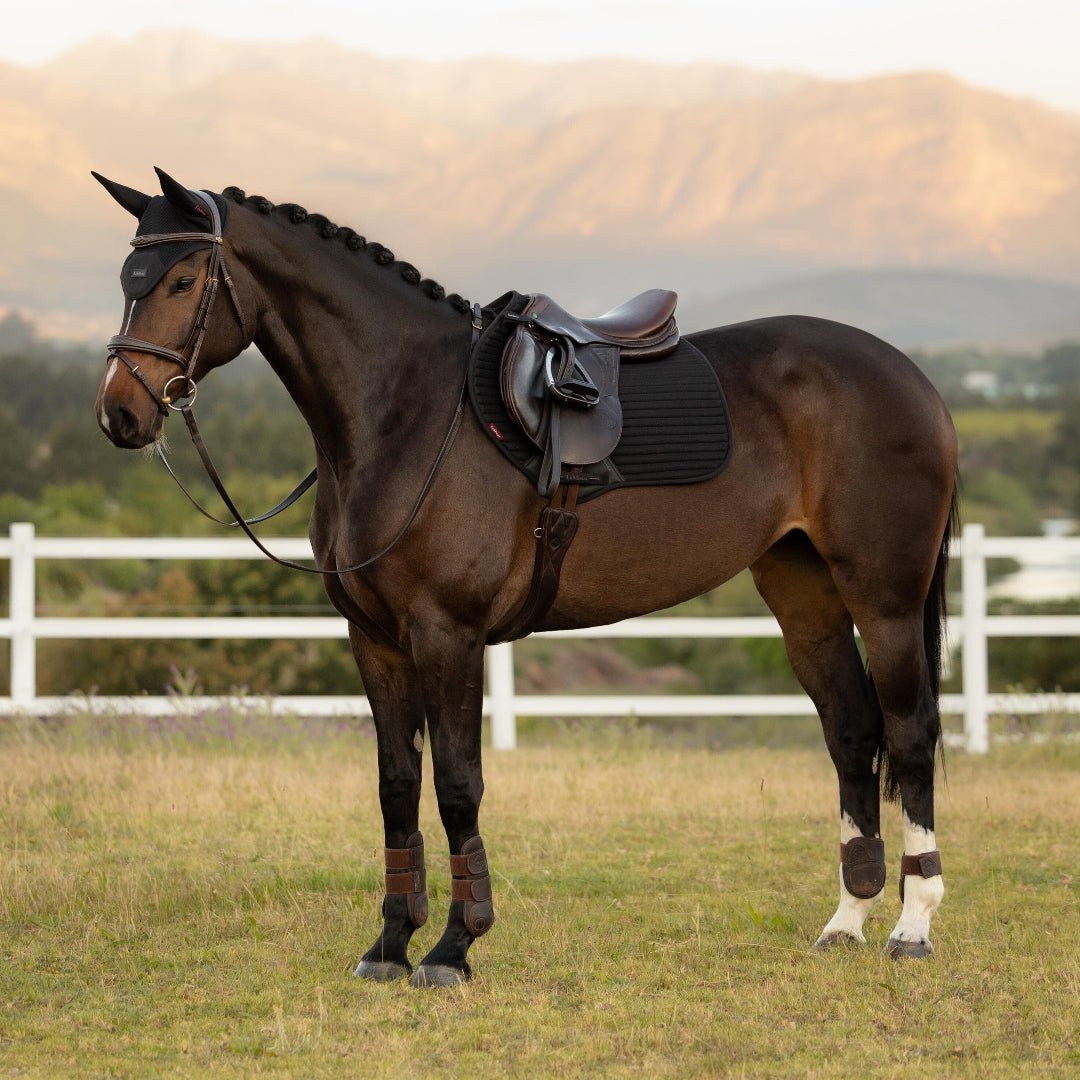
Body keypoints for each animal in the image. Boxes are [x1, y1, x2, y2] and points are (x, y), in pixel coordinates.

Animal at [93, 168, 958, 987]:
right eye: (128, 279)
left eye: (180, 281)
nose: (119, 416)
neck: (406, 413)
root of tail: (913, 378)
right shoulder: (374, 640)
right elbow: (397, 785)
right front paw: (389, 945)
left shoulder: (449, 634)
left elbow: (457, 785)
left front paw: (453, 947)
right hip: (805, 595)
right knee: (852, 732)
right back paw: (847, 920)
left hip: (884, 598)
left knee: (909, 734)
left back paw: (912, 927)